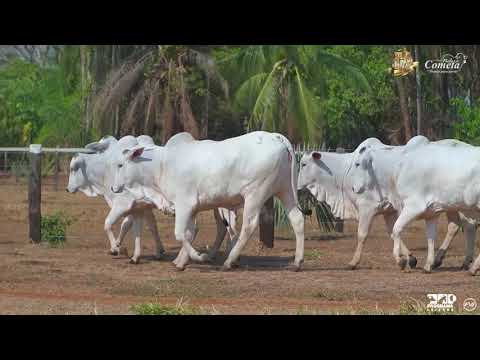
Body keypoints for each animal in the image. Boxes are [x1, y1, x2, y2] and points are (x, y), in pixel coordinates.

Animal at [67, 135, 238, 264]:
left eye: (72, 168)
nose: (68, 189)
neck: (105, 170)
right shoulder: (141, 208)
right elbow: (145, 228)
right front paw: (145, 253)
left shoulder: (122, 204)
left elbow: (110, 224)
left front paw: (117, 248)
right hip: (216, 206)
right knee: (222, 229)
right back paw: (215, 255)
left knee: (221, 230)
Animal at [111, 131, 304, 270]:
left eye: (120, 165)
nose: (114, 188)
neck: (162, 164)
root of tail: (275, 137)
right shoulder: (192, 209)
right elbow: (189, 233)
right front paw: (181, 261)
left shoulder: (184, 204)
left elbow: (180, 234)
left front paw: (198, 257)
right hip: (285, 191)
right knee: (297, 219)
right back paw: (297, 262)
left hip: (255, 194)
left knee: (248, 226)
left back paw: (229, 261)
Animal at [298, 137, 478, 270]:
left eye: (303, 164)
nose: (298, 187)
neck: (343, 172)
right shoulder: (389, 211)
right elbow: (393, 231)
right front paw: (409, 258)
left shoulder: (368, 207)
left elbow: (363, 234)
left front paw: (354, 262)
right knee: (463, 225)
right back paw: (457, 261)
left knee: (463, 225)